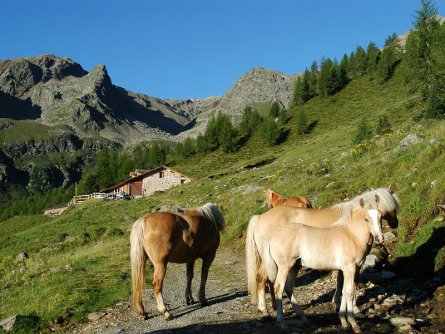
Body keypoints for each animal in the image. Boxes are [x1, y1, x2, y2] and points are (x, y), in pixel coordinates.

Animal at [246, 188, 398, 318]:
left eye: (381, 215)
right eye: (392, 207)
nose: (395, 224)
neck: (350, 228)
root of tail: (260, 218)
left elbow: (341, 281)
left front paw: (338, 303)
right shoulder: (353, 264)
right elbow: (349, 284)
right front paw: (353, 307)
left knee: (270, 282)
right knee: (263, 279)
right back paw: (265, 311)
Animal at [258, 200, 384, 332]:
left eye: (381, 216)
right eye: (366, 219)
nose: (380, 238)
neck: (351, 235)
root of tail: (272, 235)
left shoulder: (345, 269)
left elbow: (343, 291)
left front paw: (344, 323)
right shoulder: (350, 268)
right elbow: (349, 292)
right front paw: (354, 324)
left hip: (295, 266)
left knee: (288, 287)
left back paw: (304, 319)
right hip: (284, 267)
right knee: (278, 287)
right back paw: (282, 323)